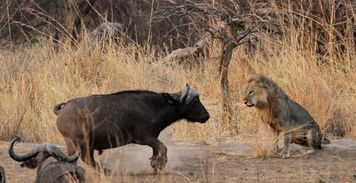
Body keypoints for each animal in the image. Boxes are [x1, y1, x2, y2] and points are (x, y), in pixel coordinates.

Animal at [52, 84, 209, 173]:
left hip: (82, 145)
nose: (206, 116)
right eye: (195, 101)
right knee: (84, 160)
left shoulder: (152, 139)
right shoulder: (145, 138)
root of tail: (63, 110)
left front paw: (154, 163)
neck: (156, 106)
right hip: (81, 143)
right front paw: (159, 165)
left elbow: (157, 150)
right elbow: (163, 148)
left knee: (83, 160)